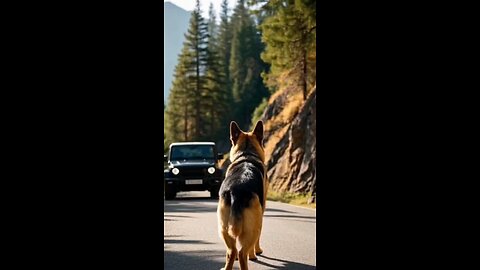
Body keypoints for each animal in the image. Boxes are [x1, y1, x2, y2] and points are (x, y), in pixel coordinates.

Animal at [217, 121, 266, 270]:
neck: (246, 154)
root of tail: (236, 191)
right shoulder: (261, 215)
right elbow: (257, 240)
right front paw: (256, 253)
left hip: (224, 229)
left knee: (231, 252)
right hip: (253, 226)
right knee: (242, 253)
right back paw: (248, 257)